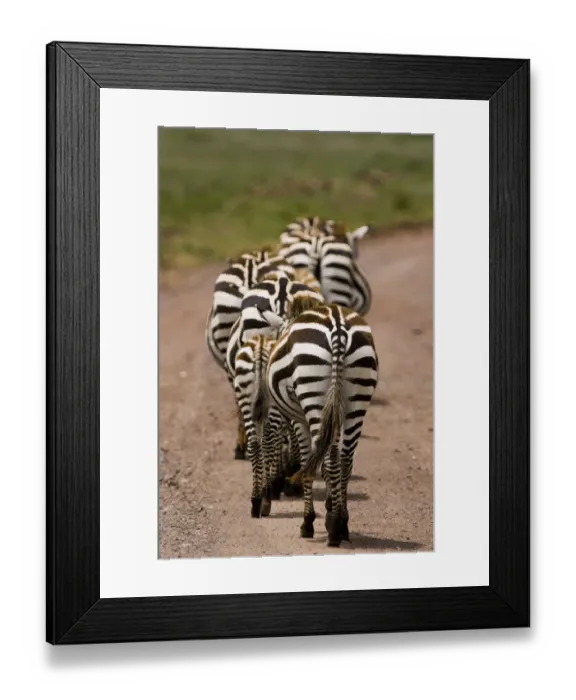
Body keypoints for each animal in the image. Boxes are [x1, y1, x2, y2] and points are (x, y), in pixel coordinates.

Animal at [267, 296, 379, 547]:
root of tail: (338, 327)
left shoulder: (300, 419)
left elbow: (308, 460)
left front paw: (308, 522)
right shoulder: (334, 413)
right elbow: (332, 461)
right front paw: (331, 505)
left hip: (314, 396)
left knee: (326, 458)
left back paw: (333, 528)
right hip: (357, 399)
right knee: (343, 459)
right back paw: (342, 524)